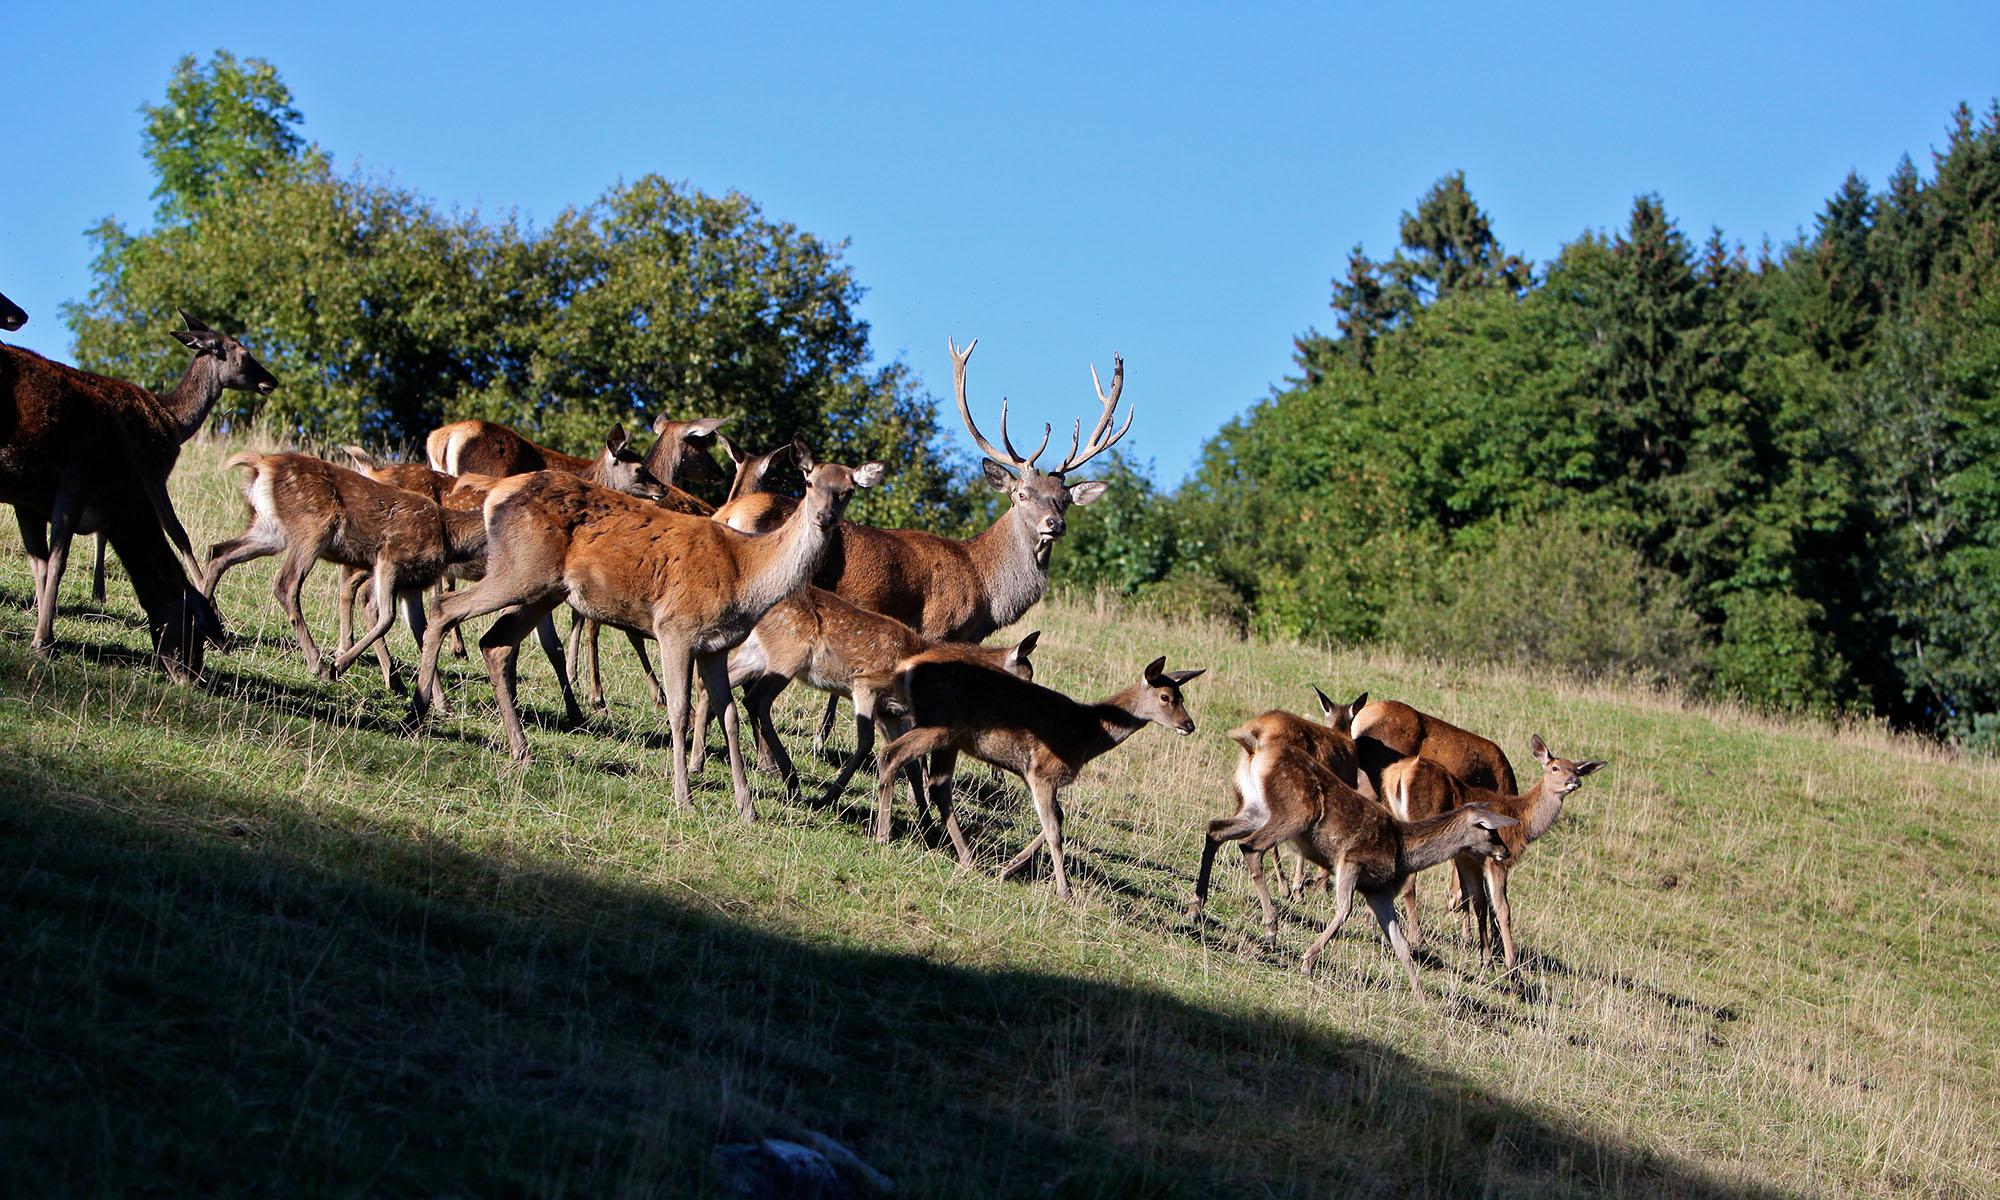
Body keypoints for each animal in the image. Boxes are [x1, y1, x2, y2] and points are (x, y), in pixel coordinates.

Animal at [0, 310, 274, 664]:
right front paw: (213, 611)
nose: (271, 381)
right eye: (244, 353)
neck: (174, 423)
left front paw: (96, 592)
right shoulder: (154, 472)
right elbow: (179, 534)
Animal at [410, 442, 880, 824]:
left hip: (544, 587)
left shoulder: (715, 645)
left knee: (496, 643)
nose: (824, 517)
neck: (746, 575)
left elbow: (728, 714)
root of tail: (494, 497)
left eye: (848, 490)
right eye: (809, 481)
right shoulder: (676, 627)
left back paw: (520, 749)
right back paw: (420, 714)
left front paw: (746, 807)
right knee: (444, 608)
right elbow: (679, 709)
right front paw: (684, 798)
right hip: (519, 569)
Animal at [868, 652, 1192, 896]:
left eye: (1182, 696)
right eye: (1165, 697)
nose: (1189, 724)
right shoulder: (1044, 771)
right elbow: (1054, 829)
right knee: (892, 754)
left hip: (950, 737)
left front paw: (1007, 870)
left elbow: (1057, 819)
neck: (1087, 735)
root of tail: (906, 669)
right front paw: (1065, 891)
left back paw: (967, 857)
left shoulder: (1034, 775)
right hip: (940, 722)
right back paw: (883, 835)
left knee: (937, 784)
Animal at [1184, 708, 1512, 1000]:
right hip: (1294, 814)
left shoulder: (1379, 892)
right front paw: (1307, 960)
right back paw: (1271, 927)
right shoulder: (1351, 861)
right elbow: (1344, 910)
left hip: (1255, 810)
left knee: (1215, 829)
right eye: (1489, 829)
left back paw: (1196, 907)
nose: (1505, 851)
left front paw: (1419, 995)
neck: (1403, 852)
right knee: (1250, 847)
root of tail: (1254, 750)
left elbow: (1401, 944)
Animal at [1376, 732, 1608, 976]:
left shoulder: (1469, 859)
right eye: (1555, 767)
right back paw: (1418, 939)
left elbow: (1478, 903)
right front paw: (1511, 966)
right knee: (1409, 883)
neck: (1523, 821)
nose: (1574, 781)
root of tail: (1397, 774)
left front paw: (1484, 956)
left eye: (1576, 770)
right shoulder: (1498, 860)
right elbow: (1502, 909)